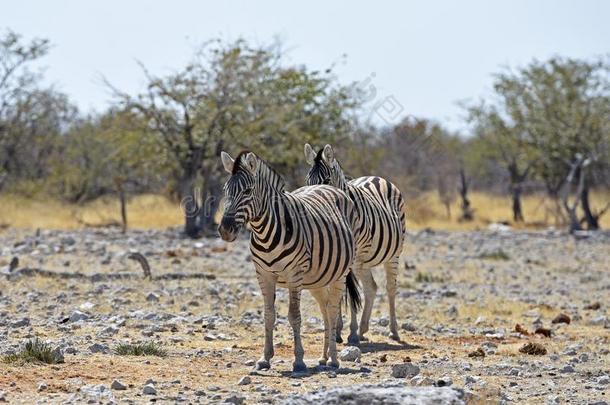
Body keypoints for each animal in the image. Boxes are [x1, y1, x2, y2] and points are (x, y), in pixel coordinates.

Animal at [216, 150, 358, 370]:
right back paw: (324, 357)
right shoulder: (263, 274)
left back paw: (334, 359)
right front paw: (264, 358)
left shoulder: (294, 274)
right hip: (317, 278)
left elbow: (294, 316)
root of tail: (328, 186)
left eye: (247, 191)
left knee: (333, 309)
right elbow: (268, 315)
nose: (225, 230)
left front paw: (298, 360)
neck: (264, 232)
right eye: (225, 190)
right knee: (325, 309)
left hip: (339, 273)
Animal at [302, 144, 406, 342]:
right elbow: (339, 292)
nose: (312, 200)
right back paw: (363, 329)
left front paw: (349, 331)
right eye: (307, 180)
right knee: (371, 287)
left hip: (392, 255)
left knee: (390, 287)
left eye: (326, 180)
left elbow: (350, 293)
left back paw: (392, 331)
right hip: (363, 261)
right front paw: (337, 330)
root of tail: (375, 177)